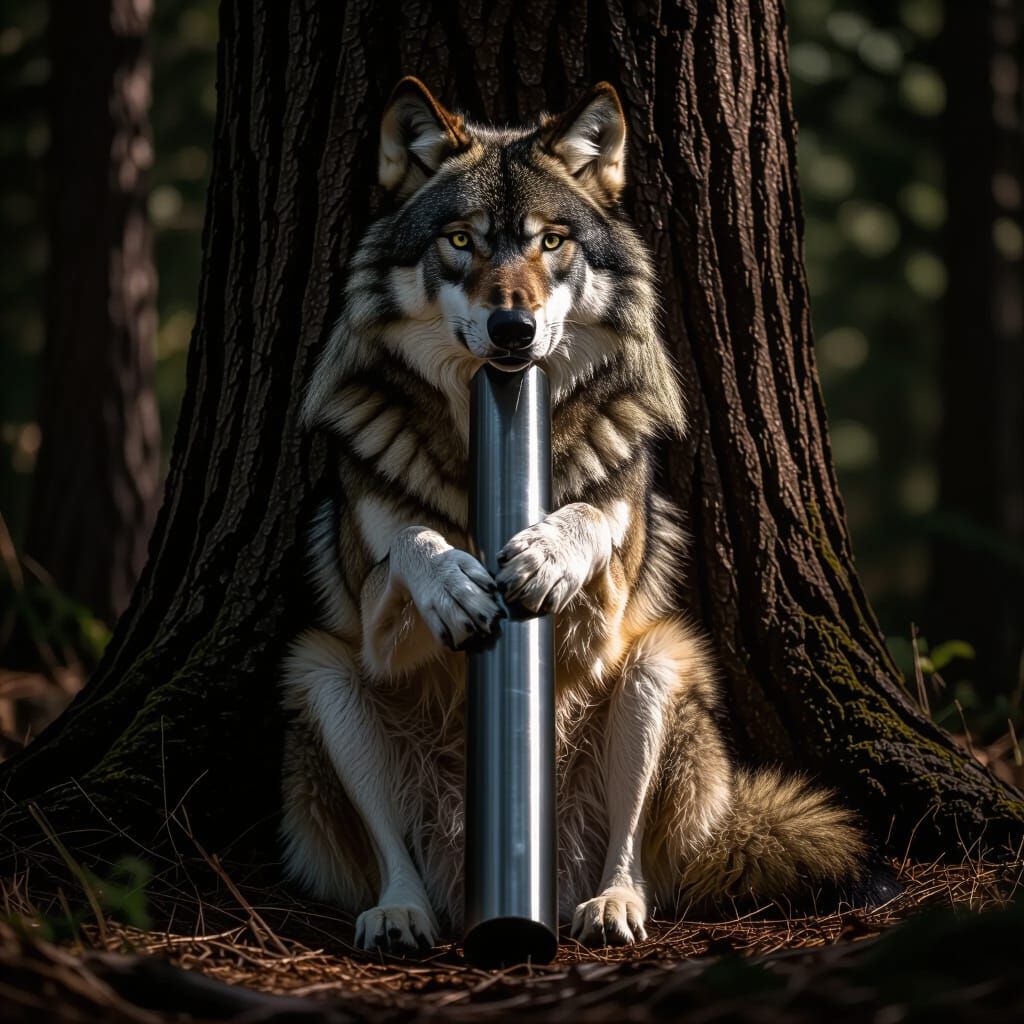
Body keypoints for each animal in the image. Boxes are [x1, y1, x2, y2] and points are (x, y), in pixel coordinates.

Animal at [280, 77, 868, 952]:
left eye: (552, 241)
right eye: (461, 240)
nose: (512, 328)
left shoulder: (608, 612)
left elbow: (593, 515)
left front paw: (546, 555)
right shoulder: (377, 625)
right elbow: (411, 541)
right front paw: (453, 580)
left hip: (660, 664)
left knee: (632, 859)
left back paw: (611, 907)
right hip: (322, 675)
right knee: (395, 858)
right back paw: (400, 913)